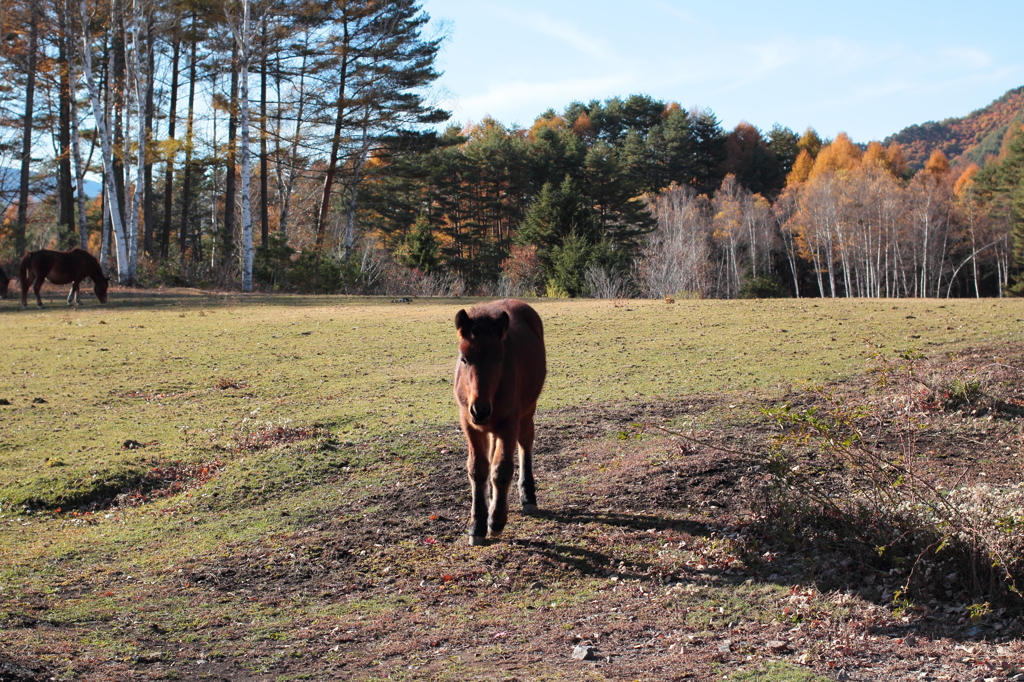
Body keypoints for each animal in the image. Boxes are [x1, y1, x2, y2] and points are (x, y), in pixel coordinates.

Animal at [456, 296, 548, 540]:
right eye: (464, 359)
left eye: (499, 358)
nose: (480, 410)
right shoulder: (469, 424)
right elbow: (478, 468)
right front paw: (477, 525)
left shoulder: (509, 422)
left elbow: (502, 469)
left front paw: (496, 521)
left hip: (526, 413)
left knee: (525, 444)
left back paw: (527, 497)